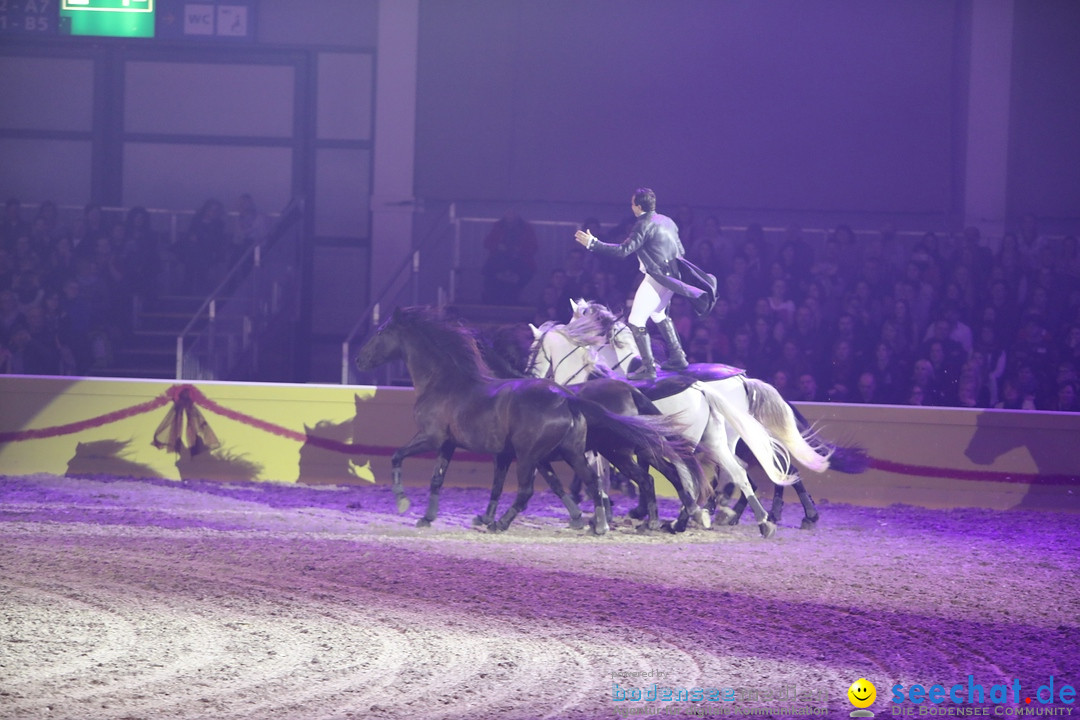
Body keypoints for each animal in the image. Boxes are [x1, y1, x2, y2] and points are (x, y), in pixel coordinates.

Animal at [354, 306, 704, 535]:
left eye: (381, 331)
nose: (360, 358)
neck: (446, 381)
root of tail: (567, 398)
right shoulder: (458, 445)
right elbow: (442, 479)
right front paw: (429, 517)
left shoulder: (431, 437)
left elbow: (397, 457)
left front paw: (402, 502)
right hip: (586, 452)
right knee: (626, 480)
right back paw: (628, 522)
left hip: (601, 452)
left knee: (532, 491)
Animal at [527, 319, 799, 535]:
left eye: (533, 350)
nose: (530, 375)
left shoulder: (604, 448)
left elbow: (601, 476)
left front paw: (606, 511)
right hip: (716, 443)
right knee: (737, 473)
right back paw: (757, 520)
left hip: (693, 444)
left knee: (701, 478)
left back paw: (691, 518)